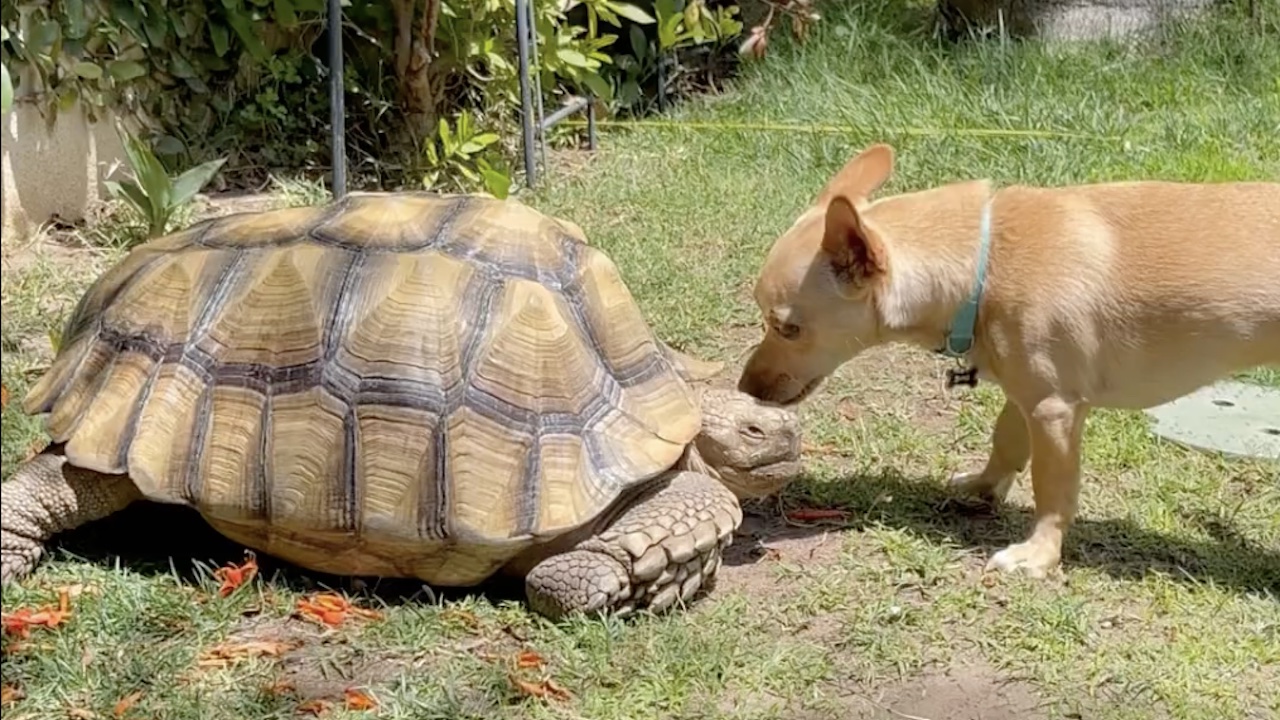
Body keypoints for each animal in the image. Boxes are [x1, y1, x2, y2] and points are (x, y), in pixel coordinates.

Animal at [737, 142, 1280, 573]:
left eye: (787, 328)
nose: (745, 389)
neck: (985, 261)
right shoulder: (1027, 397)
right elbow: (1006, 442)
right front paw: (983, 485)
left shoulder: (1054, 411)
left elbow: (1052, 492)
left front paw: (1039, 554)